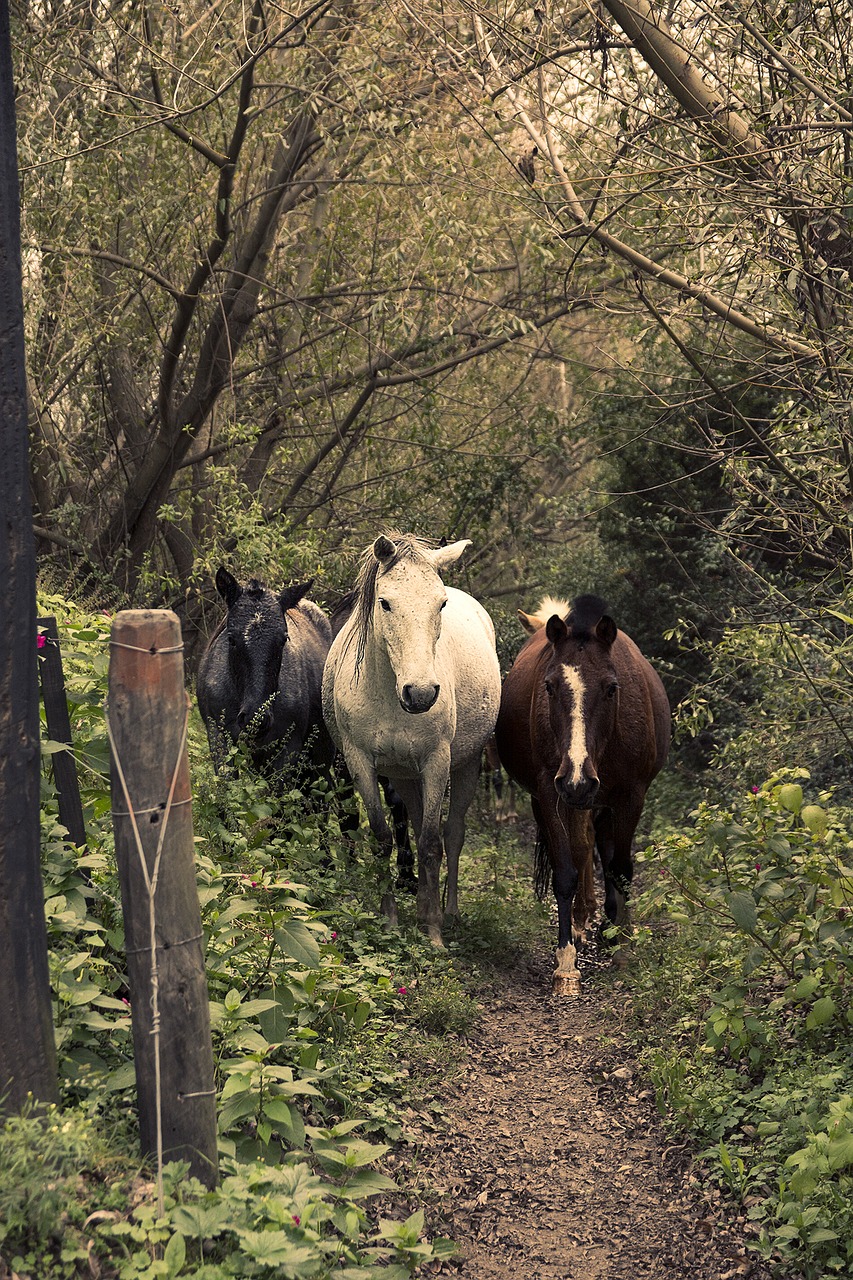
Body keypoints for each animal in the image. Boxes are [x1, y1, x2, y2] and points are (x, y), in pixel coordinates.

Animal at [322, 529, 502, 942]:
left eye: (441, 603)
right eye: (385, 603)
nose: (420, 693)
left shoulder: (437, 761)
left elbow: (432, 843)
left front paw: (432, 930)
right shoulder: (360, 763)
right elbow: (383, 838)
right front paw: (390, 919)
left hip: (465, 766)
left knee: (452, 834)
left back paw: (448, 912)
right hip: (405, 777)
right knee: (417, 825)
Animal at [494, 593, 666, 993]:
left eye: (611, 687)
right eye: (550, 686)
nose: (577, 777)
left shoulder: (630, 797)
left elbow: (620, 869)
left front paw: (623, 947)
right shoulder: (552, 793)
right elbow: (566, 870)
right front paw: (566, 964)